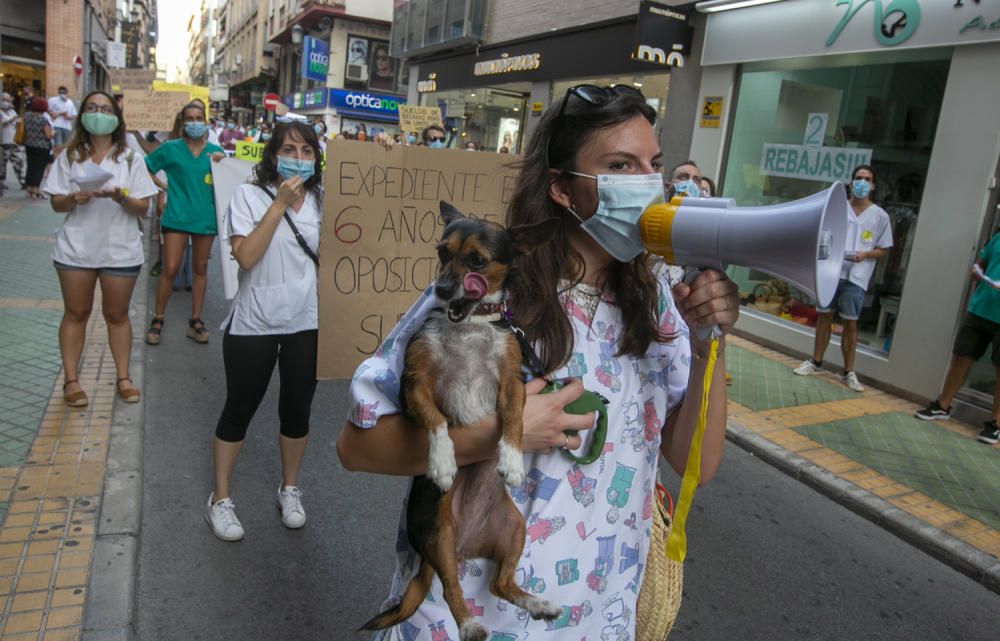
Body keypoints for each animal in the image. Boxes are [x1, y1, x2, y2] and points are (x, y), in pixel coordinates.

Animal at [360, 202, 564, 636]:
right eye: (441, 251)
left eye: (478, 261)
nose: (441, 289)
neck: (468, 323)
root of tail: (465, 545)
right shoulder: (415, 385)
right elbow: (437, 420)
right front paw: (442, 462)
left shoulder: (512, 383)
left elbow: (515, 420)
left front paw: (512, 460)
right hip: (439, 529)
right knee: (452, 585)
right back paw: (469, 624)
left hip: (514, 528)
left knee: (500, 583)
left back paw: (536, 603)